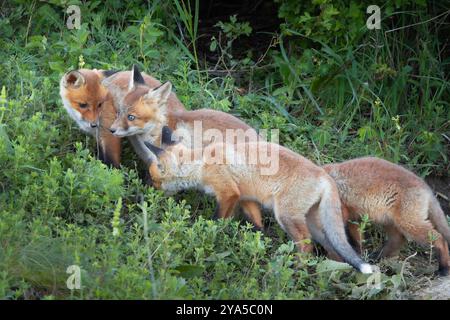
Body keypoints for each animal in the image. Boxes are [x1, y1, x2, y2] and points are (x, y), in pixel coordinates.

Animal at [143, 127, 372, 272]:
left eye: (154, 180)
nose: (148, 194)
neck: (201, 162)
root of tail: (324, 175)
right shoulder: (245, 198)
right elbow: (256, 223)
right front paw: (256, 241)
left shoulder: (228, 192)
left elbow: (217, 220)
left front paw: (210, 235)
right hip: (315, 224)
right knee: (333, 250)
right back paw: (330, 272)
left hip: (287, 217)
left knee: (307, 246)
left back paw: (296, 270)